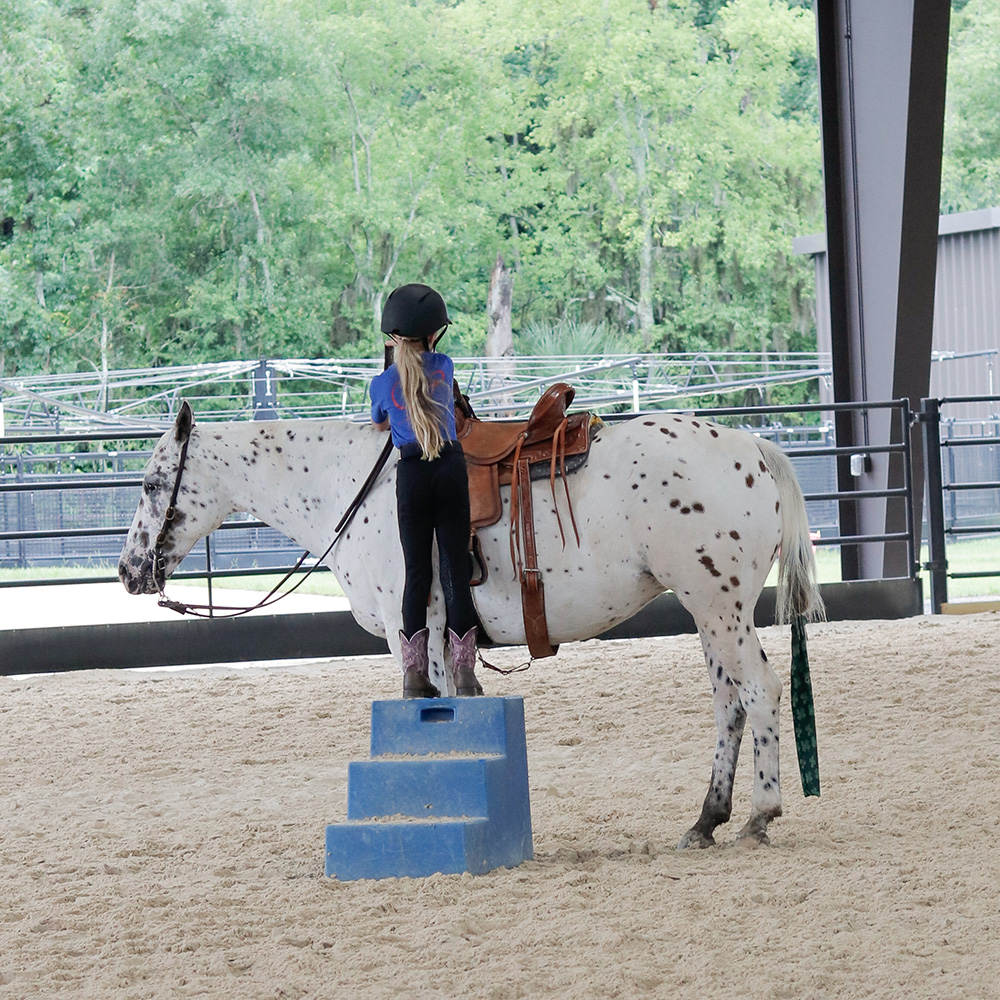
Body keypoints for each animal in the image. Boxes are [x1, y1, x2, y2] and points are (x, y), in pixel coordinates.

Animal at [119, 398, 820, 844]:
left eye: (152, 484)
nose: (129, 571)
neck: (356, 486)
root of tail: (753, 449)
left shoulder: (414, 625)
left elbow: (428, 700)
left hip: (719, 606)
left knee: (760, 692)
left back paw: (760, 814)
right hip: (709, 612)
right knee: (729, 705)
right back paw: (706, 820)